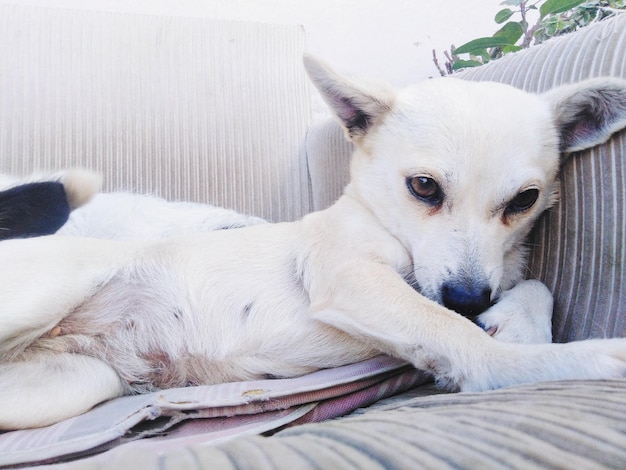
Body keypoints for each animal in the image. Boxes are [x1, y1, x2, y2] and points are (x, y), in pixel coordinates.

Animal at [1, 56, 624, 430]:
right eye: (424, 186)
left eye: (525, 199)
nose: (470, 299)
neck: (384, 222)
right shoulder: (348, 276)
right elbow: (462, 339)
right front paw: (565, 356)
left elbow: (537, 287)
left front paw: (517, 321)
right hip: (54, 286)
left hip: (74, 382)